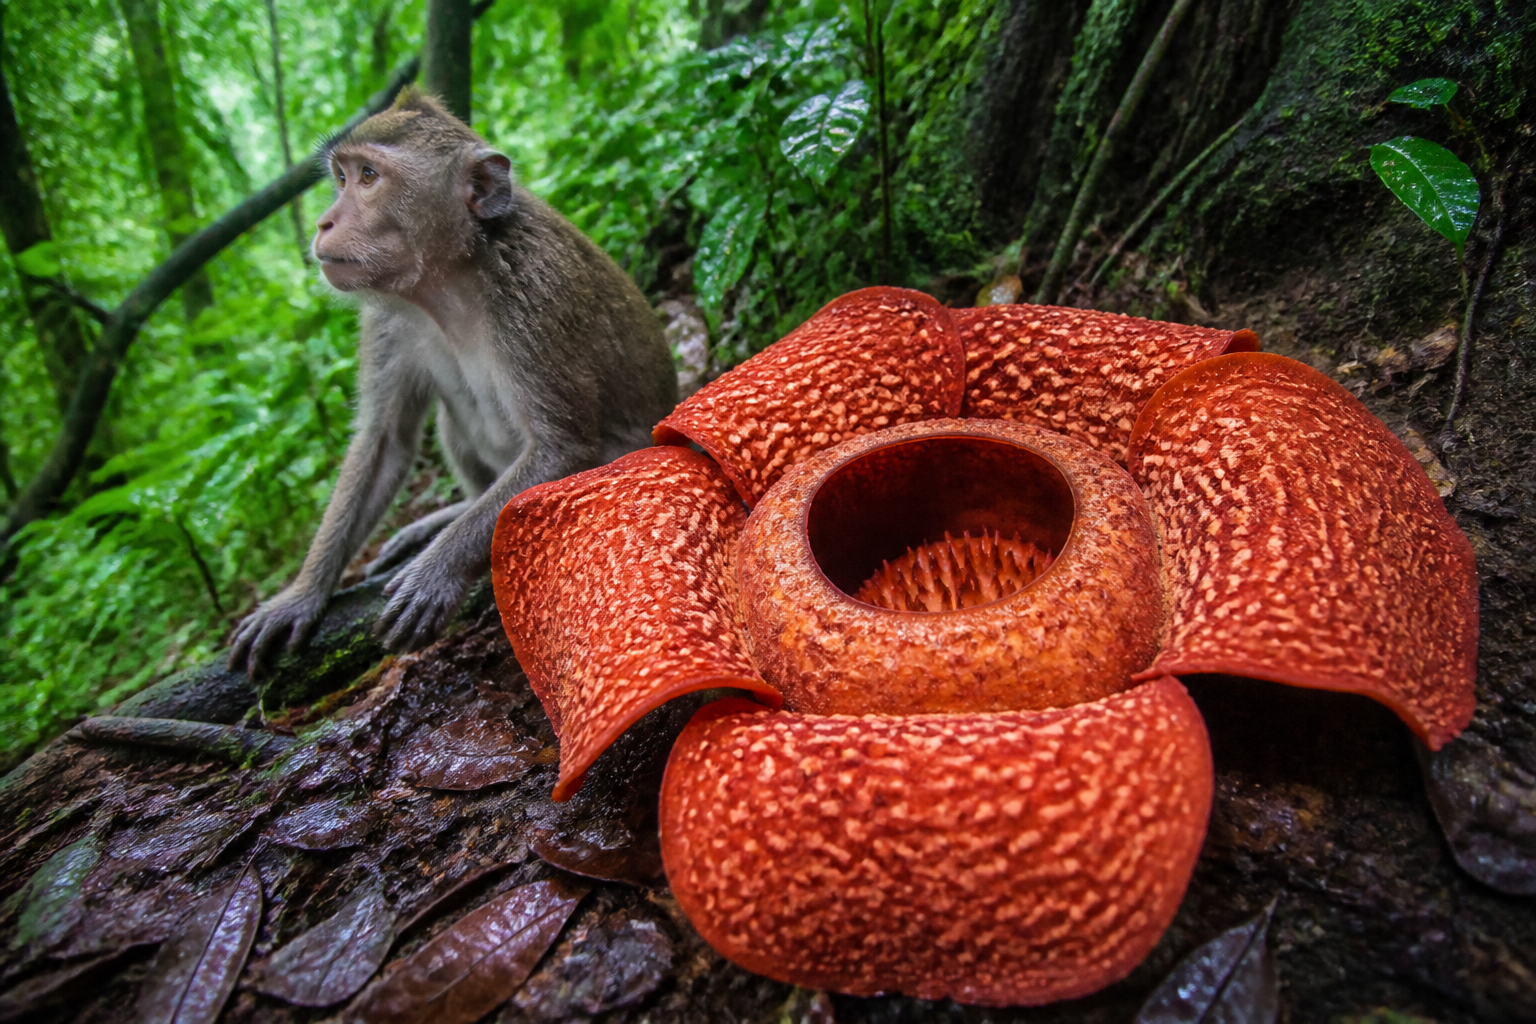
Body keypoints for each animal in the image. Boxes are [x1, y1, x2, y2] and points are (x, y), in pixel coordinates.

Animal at [229, 89, 677, 676]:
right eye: (341, 177)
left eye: (368, 176)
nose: (324, 223)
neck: (450, 281)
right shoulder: (387, 320)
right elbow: (384, 441)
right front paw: (300, 595)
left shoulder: (534, 296)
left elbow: (561, 448)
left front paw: (435, 571)